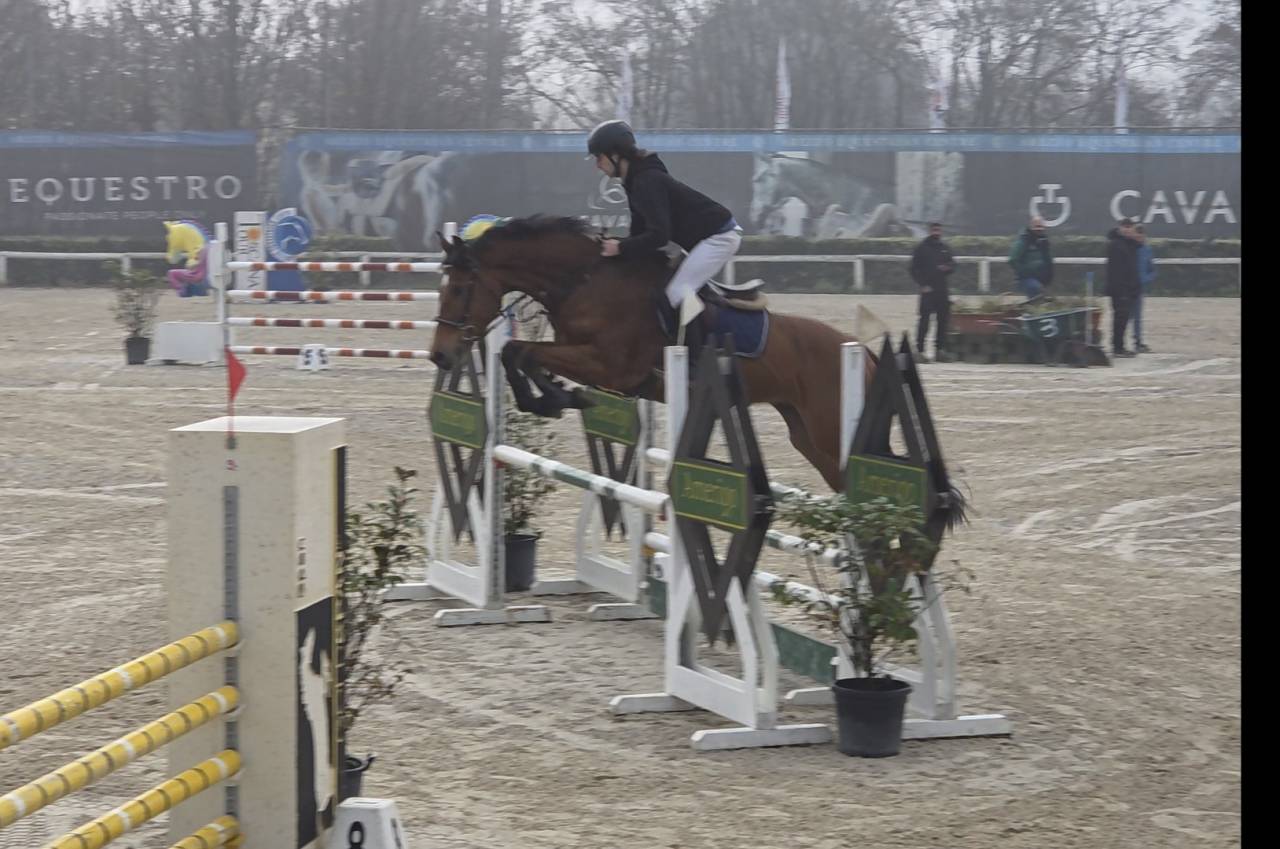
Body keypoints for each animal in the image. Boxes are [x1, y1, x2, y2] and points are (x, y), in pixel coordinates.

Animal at [428, 214, 877, 494]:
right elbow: (515, 353)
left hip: (829, 430)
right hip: (807, 436)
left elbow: (522, 352)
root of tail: (865, 354)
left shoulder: (611, 368)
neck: (585, 281)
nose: (440, 357)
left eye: (460, 289)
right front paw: (553, 396)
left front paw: (559, 398)